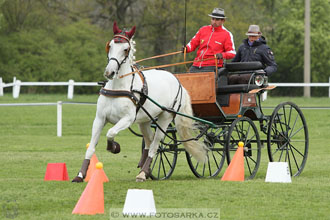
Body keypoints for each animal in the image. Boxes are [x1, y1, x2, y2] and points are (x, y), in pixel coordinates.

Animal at [72, 21, 206, 182]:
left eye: (126, 49)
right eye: (110, 45)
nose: (109, 72)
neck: (119, 87)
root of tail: (177, 81)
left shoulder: (127, 119)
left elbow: (110, 133)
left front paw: (114, 147)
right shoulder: (99, 119)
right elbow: (91, 146)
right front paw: (80, 175)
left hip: (165, 117)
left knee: (155, 144)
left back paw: (143, 173)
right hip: (145, 120)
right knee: (149, 140)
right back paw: (144, 168)